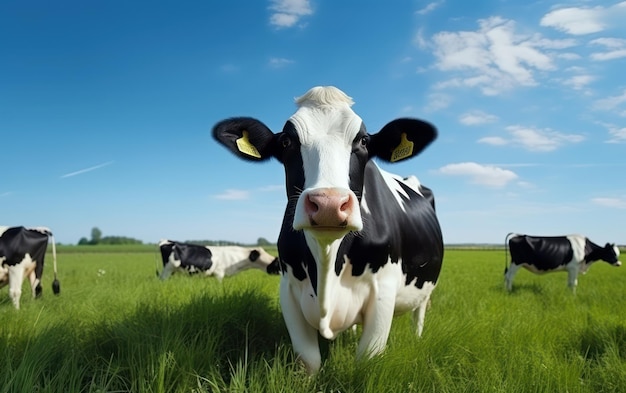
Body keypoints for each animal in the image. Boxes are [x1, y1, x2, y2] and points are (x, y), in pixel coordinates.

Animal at [212, 85, 442, 370]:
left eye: (363, 141)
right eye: (286, 142)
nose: (329, 204)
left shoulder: (384, 291)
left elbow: (367, 358)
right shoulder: (288, 289)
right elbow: (309, 360)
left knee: (419, 312)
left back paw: (417, 336)